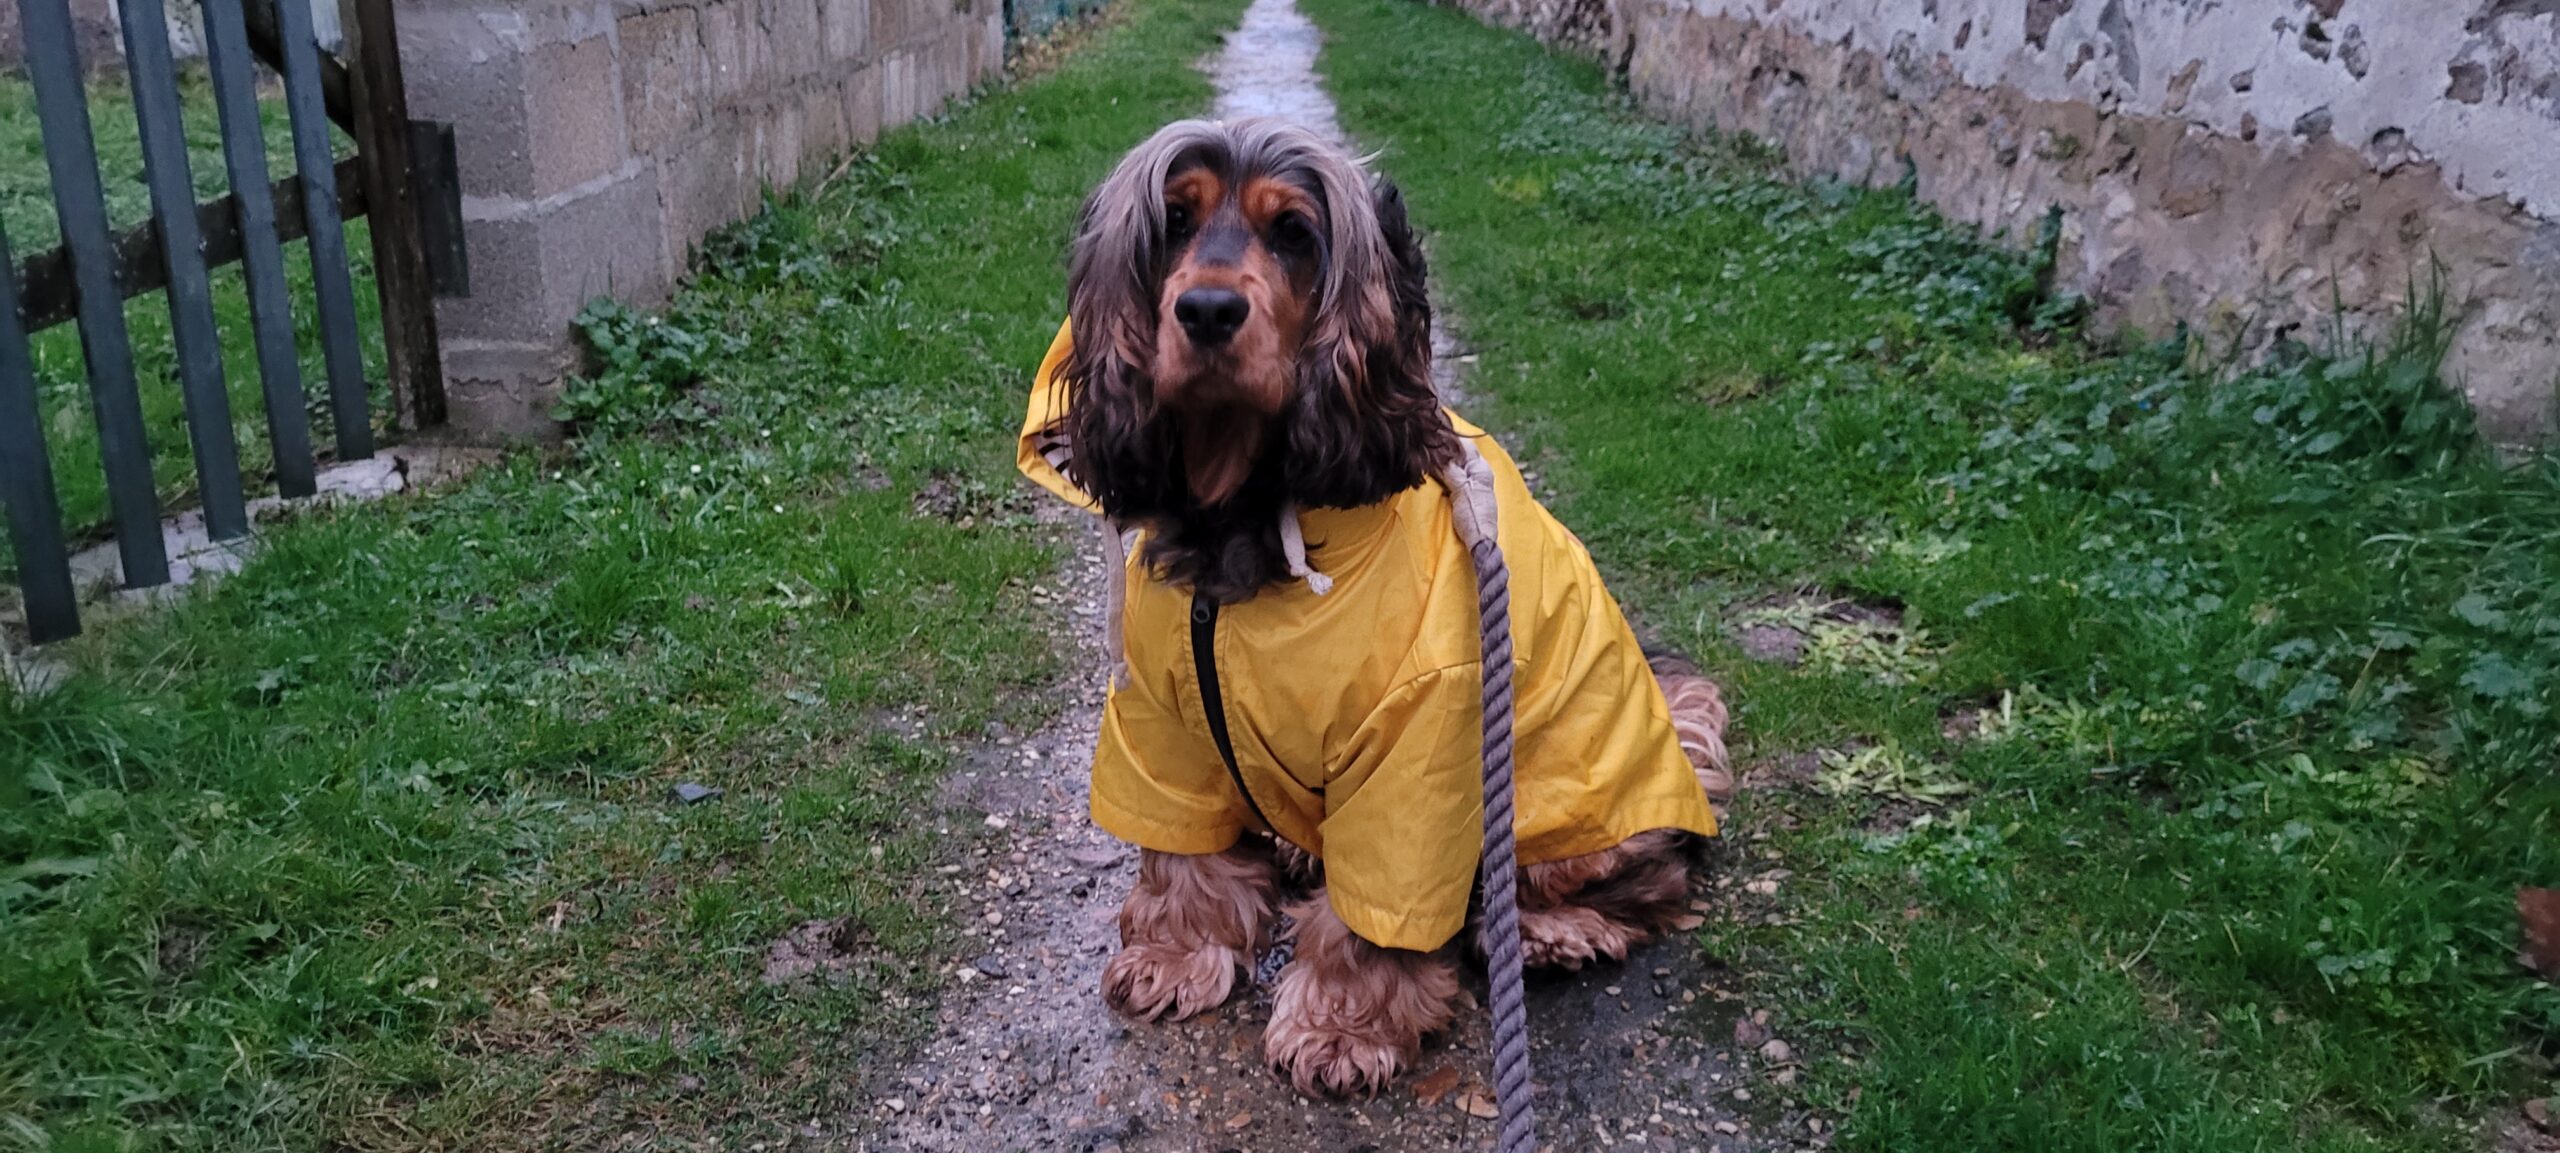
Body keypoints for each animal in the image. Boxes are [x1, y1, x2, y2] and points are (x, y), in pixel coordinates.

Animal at [1003, 119, 1740, 1096]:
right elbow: (1183, 846)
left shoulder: (1417, 749)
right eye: (1174, 219)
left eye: (1292, 233)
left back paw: (1553, 932)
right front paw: (1174, 954)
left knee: (1644, 879)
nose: (1207, 311)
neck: (1247, 513)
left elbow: (1378, 907)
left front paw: (1340, 1028)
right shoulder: (1161, 718)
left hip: (1570, 807)